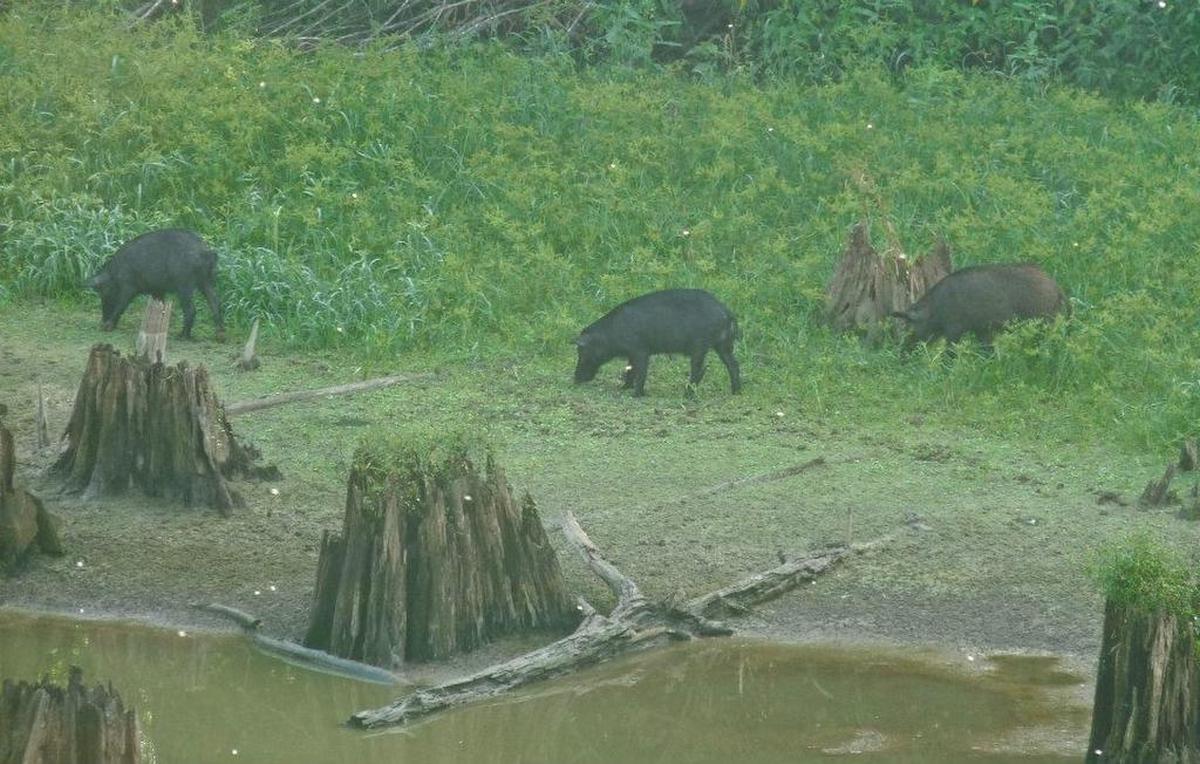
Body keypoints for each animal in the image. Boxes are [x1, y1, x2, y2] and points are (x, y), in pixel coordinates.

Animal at [87, 228, 225, 340]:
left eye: (104, 293)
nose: (101, 323)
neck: (114, 275)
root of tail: (207, 251)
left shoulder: (128, 286)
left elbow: (121, 305)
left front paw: (107, 327)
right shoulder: (157, 290)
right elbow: (160, 306)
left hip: (185, 284)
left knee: (191, 309)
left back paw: (182, 336)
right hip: (207, 280)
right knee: (216, 302)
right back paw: (219, 336)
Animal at [574, 288, 741, 397]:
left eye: (582, 352)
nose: (575, 379)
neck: (611, 334)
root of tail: (727, 311)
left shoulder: (641, 350)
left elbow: (641, 371)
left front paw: (636, 394)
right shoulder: (632, 353)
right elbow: (630, 370)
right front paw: (623, 388)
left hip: (700, 346)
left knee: (698, 369)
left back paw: (687, 394)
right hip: (724, 345)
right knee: (733, 365)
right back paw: (736, 392)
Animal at [891, 263, 1068, 347]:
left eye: (910, 325)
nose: (902, 354)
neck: (935, 309)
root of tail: (1057, 289)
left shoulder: (954, 329)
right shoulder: (982, 330)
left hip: (1042, 321)